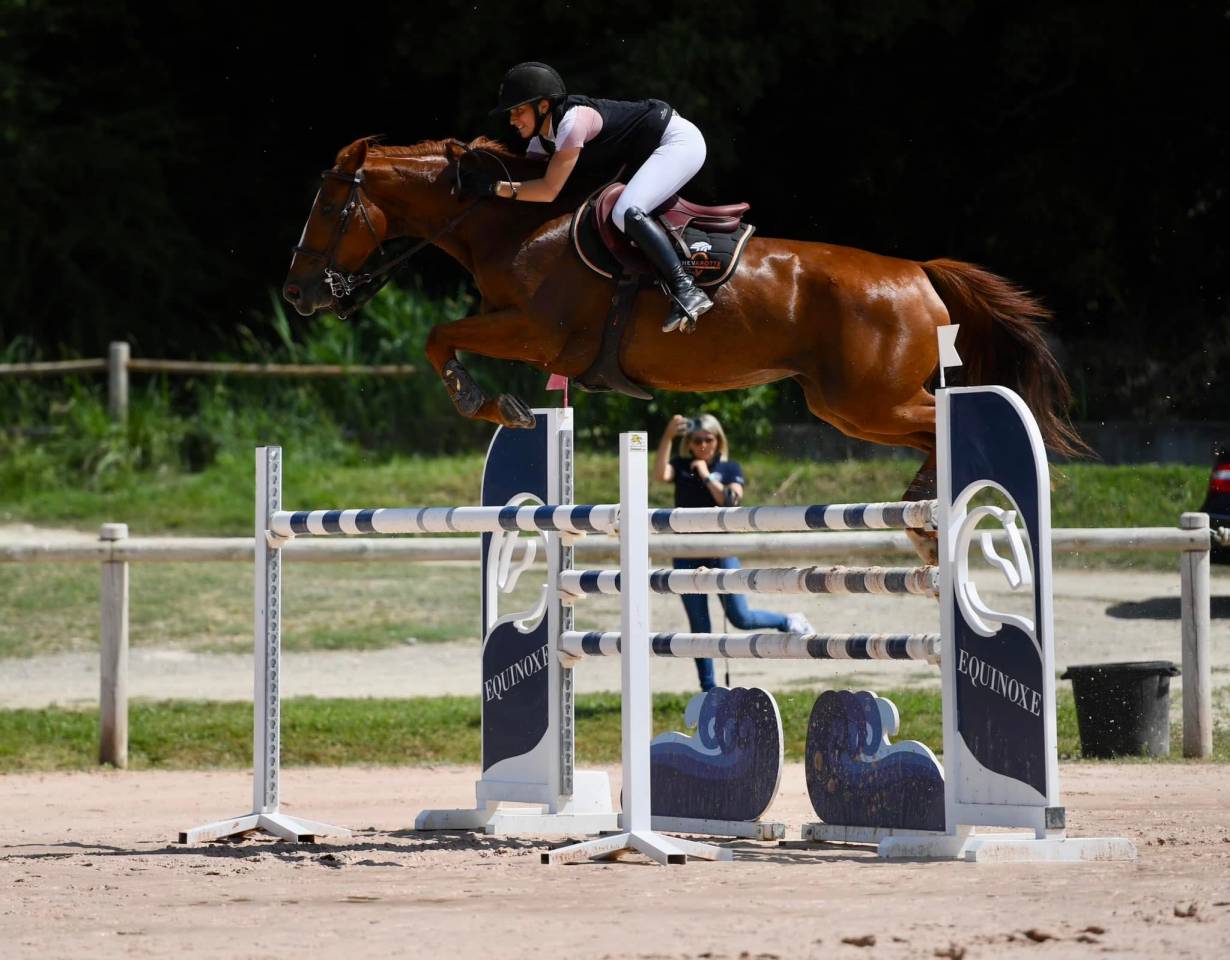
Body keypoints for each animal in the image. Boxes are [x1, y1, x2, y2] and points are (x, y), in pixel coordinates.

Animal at [283, 136, 1087, 522]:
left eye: (326, 207)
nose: (297, 293)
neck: (513, 225)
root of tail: (918, 271)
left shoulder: (535, 333)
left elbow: (438, 337)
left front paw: (486, 402)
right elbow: (439, 336)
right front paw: (495, 403)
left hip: (867, 401)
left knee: (946, 419)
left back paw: (936, 494)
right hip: (850, 406)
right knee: (929, 430)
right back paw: (923, 497)